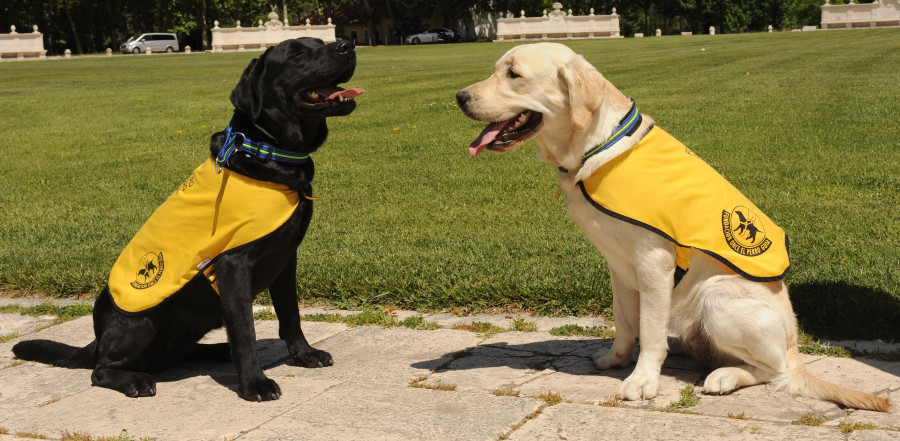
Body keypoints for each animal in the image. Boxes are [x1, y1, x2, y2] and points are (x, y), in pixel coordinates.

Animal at [11, 38, 362, 402]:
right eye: (296, 54)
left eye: (320, 43)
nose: (347, 45)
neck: (266, 149)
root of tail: (96, 339)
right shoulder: (233, 265)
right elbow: (245, 330)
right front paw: (254, 383)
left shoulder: (285, 258)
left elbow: (290, 314)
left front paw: (305, 355)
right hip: (143, 320)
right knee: (101, 370)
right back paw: (135, 380)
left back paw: (218, 351)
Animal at [460, 43, 888, 410]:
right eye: (497, 69)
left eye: (514, 74)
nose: (460, 97)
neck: (596, 147)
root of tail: (795, 347)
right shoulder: (618, 266)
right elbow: (625, 323)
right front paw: (615, 360)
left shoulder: (653, 262)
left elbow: (649, 332)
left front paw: (642, 381)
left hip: (717, 298)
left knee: (772, 371)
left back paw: (725, 376)